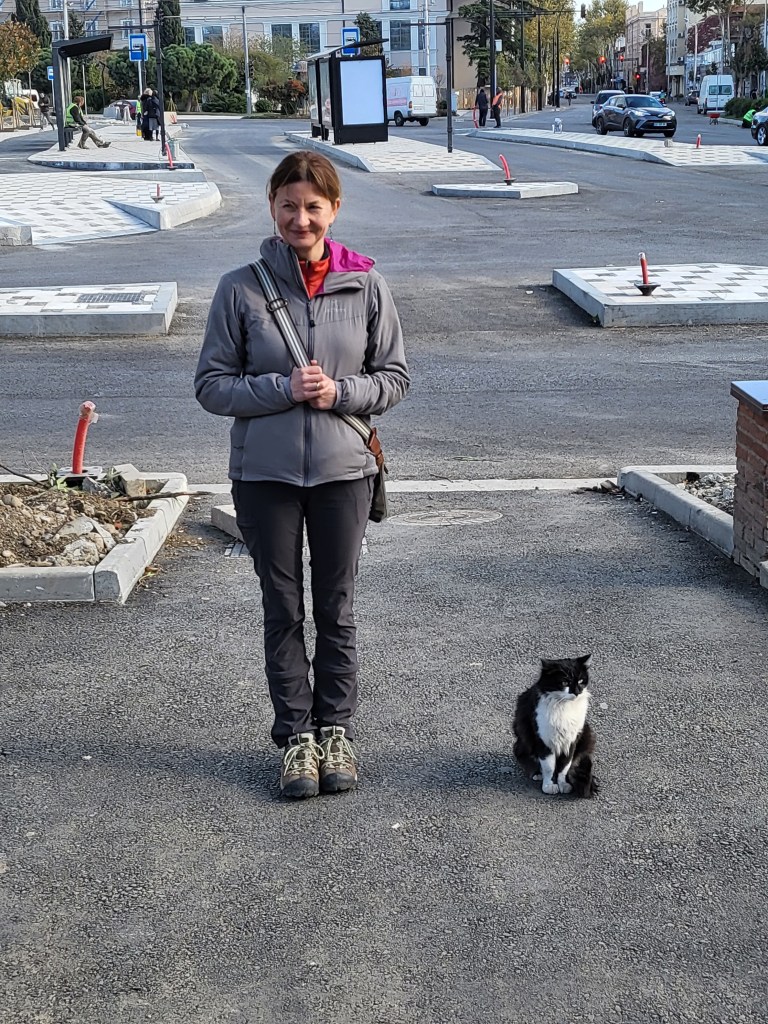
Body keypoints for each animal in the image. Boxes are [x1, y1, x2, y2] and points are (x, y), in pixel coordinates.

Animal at [513, 655, 599, 798]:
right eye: (564, 683)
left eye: (581, 681)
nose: (577, 692)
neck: (564, 706)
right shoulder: (543, 739)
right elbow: (549, 766)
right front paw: (549, 786)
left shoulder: (571, 740)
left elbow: (564, 766)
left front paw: (563, 784)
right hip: (524, 734)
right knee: (521, 752)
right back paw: (537, 773)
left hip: (587, 734)